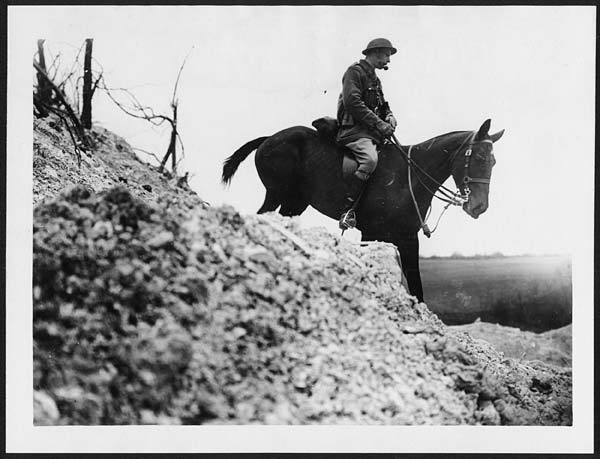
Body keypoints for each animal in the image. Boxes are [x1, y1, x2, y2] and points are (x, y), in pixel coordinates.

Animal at [223, 117, 504, 302]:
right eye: (479, 158)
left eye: (493, 161)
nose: (479, 206)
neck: (408, 177)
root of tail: (268, 139)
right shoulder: (372, 234)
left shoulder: (407, 237)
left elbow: (416, 284)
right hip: (276, 195)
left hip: (294, 203)